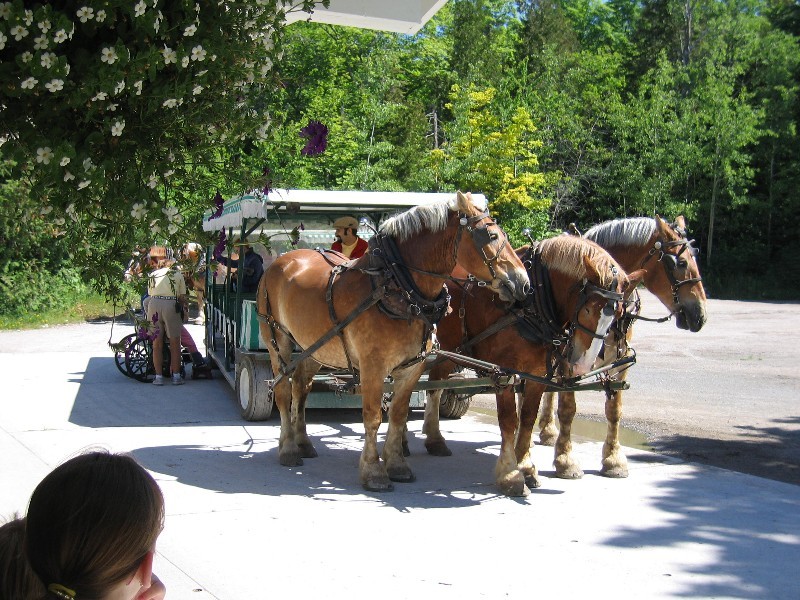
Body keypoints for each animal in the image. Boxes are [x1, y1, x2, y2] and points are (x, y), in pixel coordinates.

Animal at [256, 191, 530, 491]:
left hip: (315, 347)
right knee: (283, 391)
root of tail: (282, 261)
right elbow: (373, 416)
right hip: (277, 341)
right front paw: (373, 470)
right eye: (490, 236)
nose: (523, 283)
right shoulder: (373, 366)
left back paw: (303, 442)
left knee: (301, 388)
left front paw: (397, 464)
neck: (397, 287)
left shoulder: (412, 368)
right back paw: (288, 449)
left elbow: (399, 415)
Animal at [418, 235, 644, 496]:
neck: (532, 302)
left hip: (451, 351)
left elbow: (527, 418)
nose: (583, 364)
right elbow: (508, 421)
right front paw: (510, 473)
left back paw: (433, 439)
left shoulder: (537, 373)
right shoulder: (504, 372)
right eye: (587, 309)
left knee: (434, 384)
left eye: (617, 313)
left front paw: (526, 467)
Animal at [537, 215, 707, 479]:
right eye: (679, 262)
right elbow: (567, 408)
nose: (700, 315)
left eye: (695, 258)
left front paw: (614, 459)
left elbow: (614, 410)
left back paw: (547, 430)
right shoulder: (568, 358)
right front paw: (566, 460)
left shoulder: (621, 358)